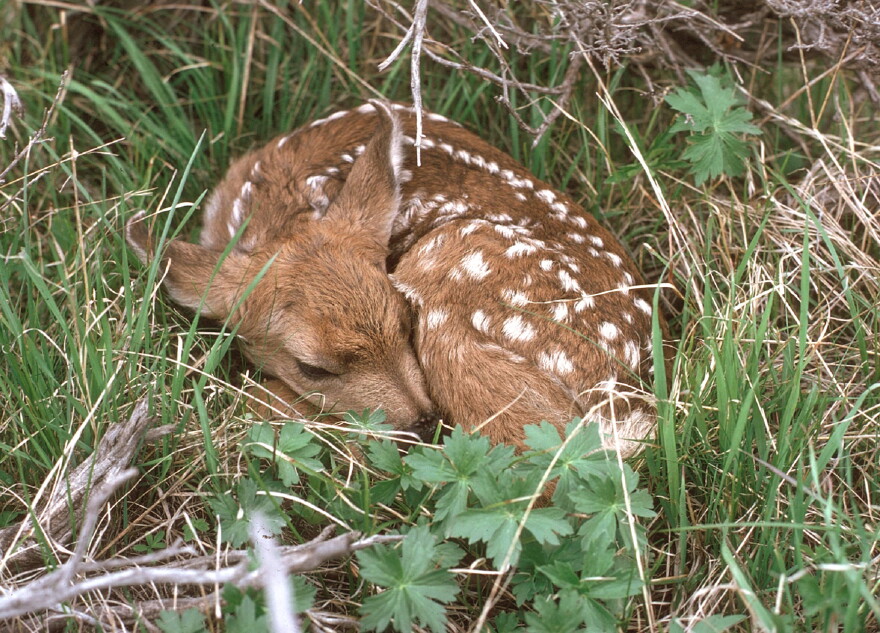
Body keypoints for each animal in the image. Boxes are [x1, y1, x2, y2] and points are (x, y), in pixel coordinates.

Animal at [126, 100, 667, 456]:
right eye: (313, 368)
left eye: (407, 321)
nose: (423, 424)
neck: (279, 207)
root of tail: (620, 396)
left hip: (453, 257)